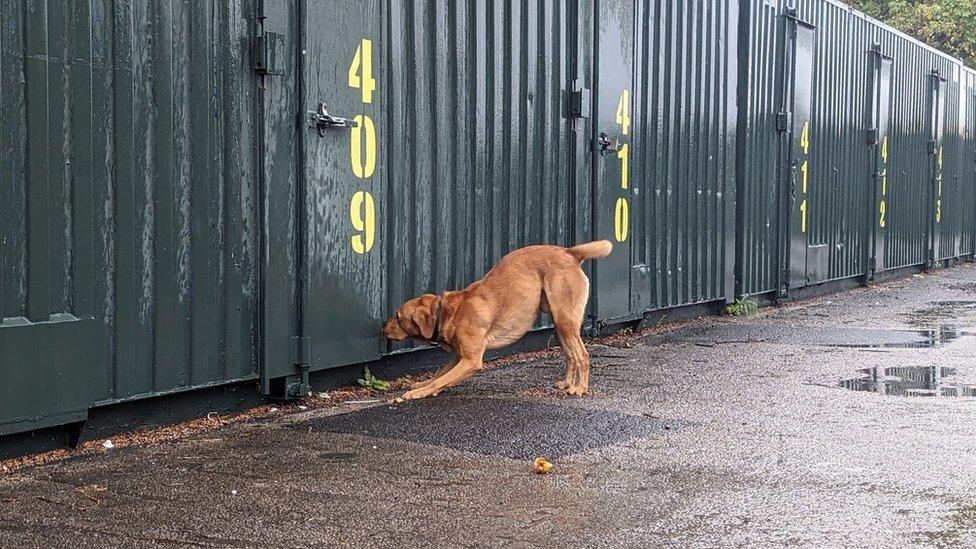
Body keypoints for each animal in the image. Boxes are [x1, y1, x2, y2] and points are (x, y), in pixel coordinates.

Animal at [382, 240, 608, 398]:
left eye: (398, 316)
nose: (382, 326)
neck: (445, 312)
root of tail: (569, 252)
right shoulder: (459, 357)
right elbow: (439, 374)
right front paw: (423, 385)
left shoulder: (471, 361)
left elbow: (440, 379)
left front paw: (418, 392)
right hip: (559, 324)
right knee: (571, 356)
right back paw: (567, 383)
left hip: (565, 321)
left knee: (582, 355)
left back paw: (579, 388)